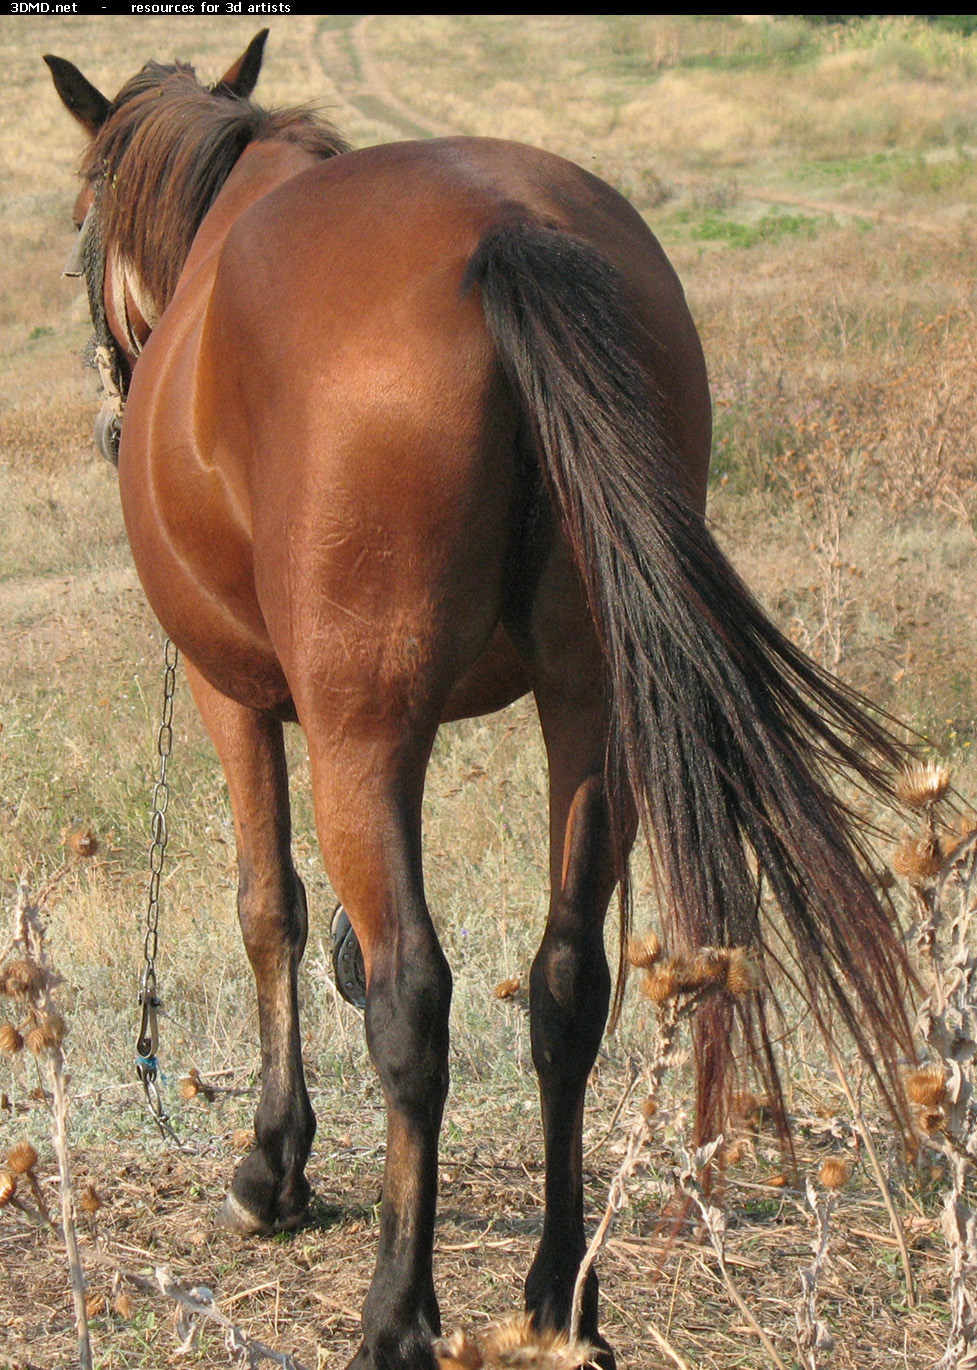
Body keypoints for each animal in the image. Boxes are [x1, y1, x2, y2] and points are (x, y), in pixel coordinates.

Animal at [45, 32, 915, 1370]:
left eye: (82, 222)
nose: (106, 405)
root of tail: (504, 233)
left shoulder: (234, 695)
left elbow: (271, 910)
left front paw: (271, 1167)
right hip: (592, 712)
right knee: (565, 984)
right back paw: (559, 1290)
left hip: (365, 731)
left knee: (416, 996)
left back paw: (397, 1312)